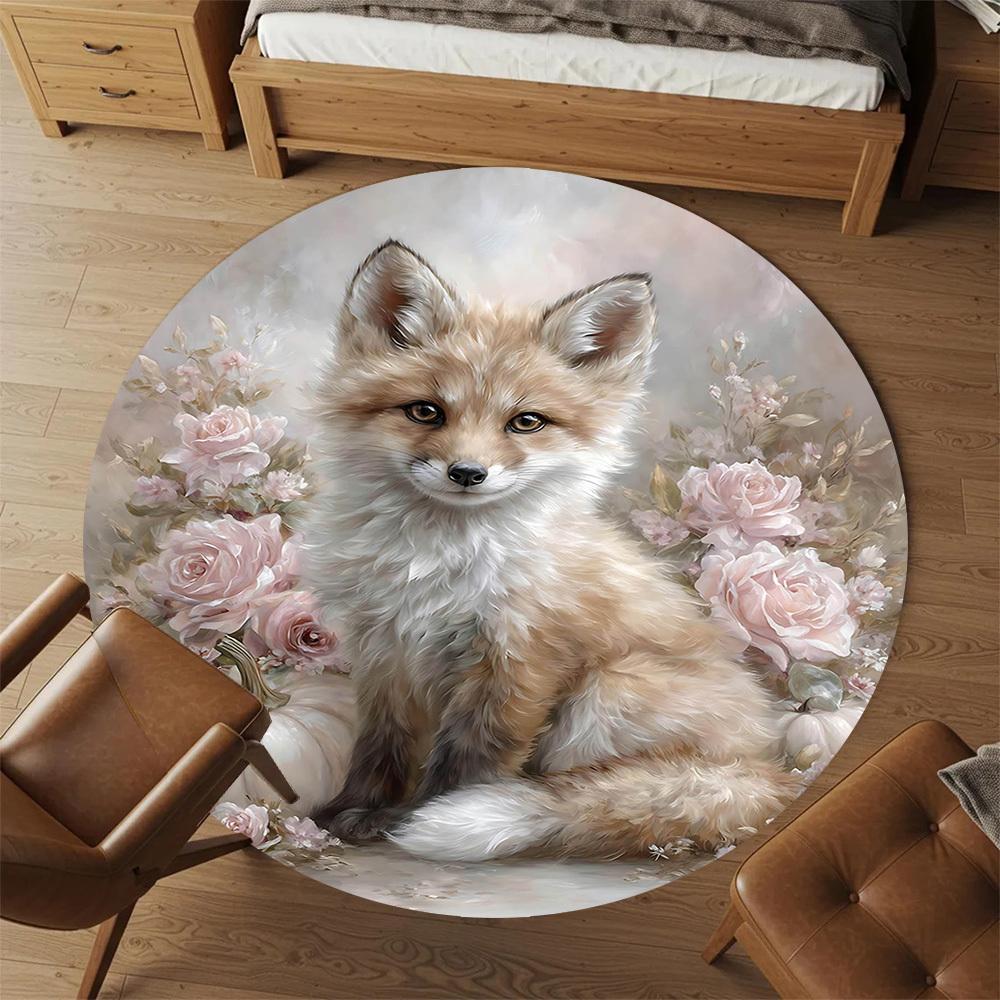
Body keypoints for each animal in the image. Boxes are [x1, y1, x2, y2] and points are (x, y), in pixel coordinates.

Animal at [303, 240, 799, 862]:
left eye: (526, 422)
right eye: (425, 411)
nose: (467, 473)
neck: (439, 560)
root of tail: (769, 770)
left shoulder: (519, 657)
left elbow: (473, 761)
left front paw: (425, 816)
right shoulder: (385, 647)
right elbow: (383, 745)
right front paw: (354, 811)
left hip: (609, 691)